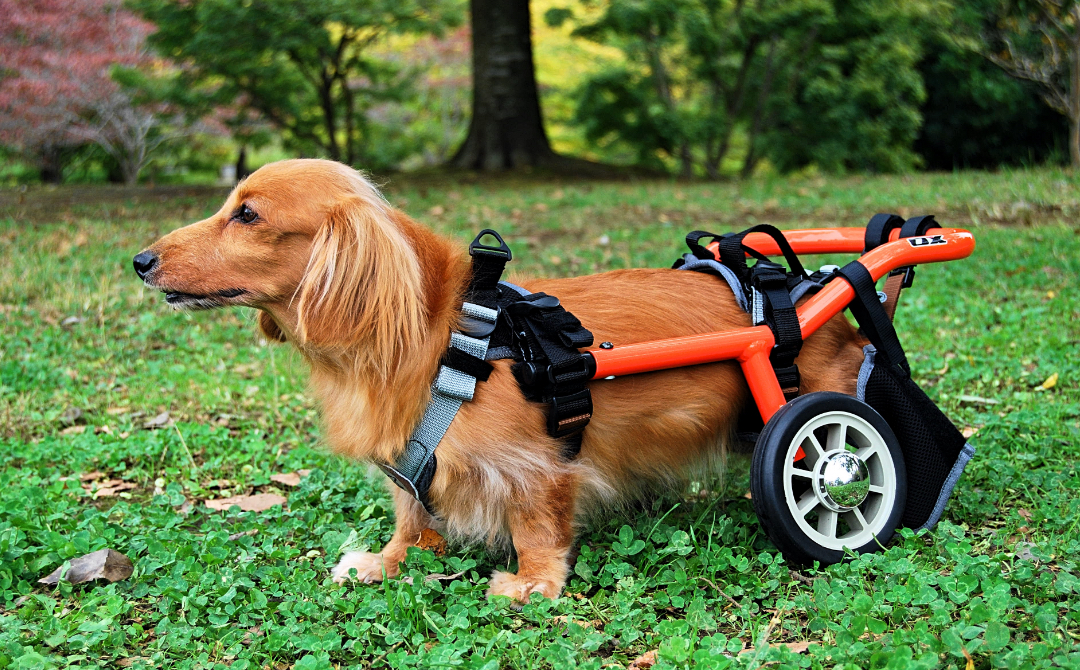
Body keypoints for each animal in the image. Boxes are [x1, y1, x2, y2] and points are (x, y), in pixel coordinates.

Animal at [135, 159, 864, 605]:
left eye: (248, 215)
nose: (140, 260)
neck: (438, 337)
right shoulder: (410, 463)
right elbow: (410, 515)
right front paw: (386, 562)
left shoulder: (533, 464)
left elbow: (537, 526)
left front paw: (533, 584)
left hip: (813, 419)